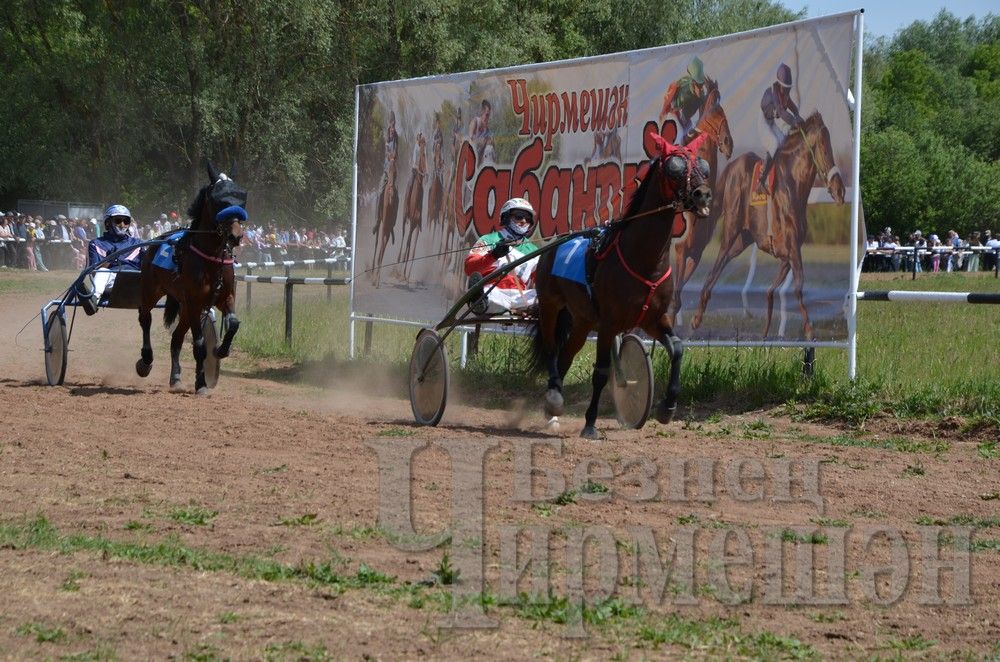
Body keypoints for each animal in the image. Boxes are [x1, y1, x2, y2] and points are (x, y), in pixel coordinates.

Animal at [135, 162, 246, 394]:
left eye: (240, 197)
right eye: (218, 199)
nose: (236, 235)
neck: (211, 258)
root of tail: (158, 240)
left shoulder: (225, 297)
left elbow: (233, 323)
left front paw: (221, 350)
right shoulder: (195, 302)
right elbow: (200, 345)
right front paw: (201, 383)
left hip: (184, 307)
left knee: (176, 339)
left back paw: (175, 378)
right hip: (151, 290)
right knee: (145, 317)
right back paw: (145, 361)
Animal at [536, 134, 716, 440]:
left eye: (703, 165)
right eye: (675, 167)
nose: (702, 194)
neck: (643, 259)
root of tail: (554, 244)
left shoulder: (654, 319)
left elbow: (677, 349)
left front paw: (667, 408)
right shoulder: (609, 323)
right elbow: (601, 372)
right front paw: (590, 424)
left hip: (583, 320)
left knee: (566, 356)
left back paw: (553, 406)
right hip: (551, 305)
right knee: (551, 349)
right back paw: (554, 399)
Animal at [672, 79, 736, 326]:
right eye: (715, 114)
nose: (728, 143)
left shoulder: (695, 255)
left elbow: (676, 300)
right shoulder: (680, 252)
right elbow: (674, 299)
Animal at [692, 112, 848, 340]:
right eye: (825, 150)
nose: (840, 191)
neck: (793, 188)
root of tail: (732, 165)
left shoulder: (788, 254)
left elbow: (770, 291)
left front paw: (766, 331)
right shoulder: (793, 251)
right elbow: (798, 287)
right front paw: (809, 330)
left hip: (743, 239)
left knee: (723, 262)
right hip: (731, 228)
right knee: (718, 261)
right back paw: (696, 315)